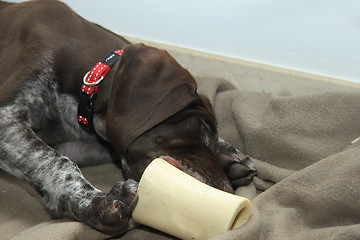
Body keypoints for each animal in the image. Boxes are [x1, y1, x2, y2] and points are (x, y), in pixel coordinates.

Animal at [0, 0, 256, 234]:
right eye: (203, 129)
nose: (227, 190)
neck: (90, 81)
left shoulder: (82, 144)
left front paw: (230, 154)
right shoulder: (6, 117)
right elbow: (54, 160)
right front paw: (97, 202)